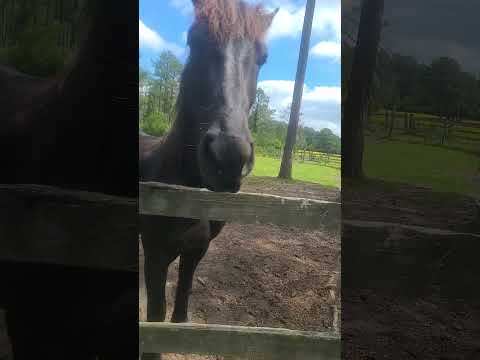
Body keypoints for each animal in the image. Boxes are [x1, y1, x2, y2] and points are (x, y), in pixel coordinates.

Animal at [139, 0, 278, 358]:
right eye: (194, 41)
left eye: (263, 57)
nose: (228, 157)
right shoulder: (155, 255)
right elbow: (156, 317)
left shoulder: (197, 251)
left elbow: (180, 309)